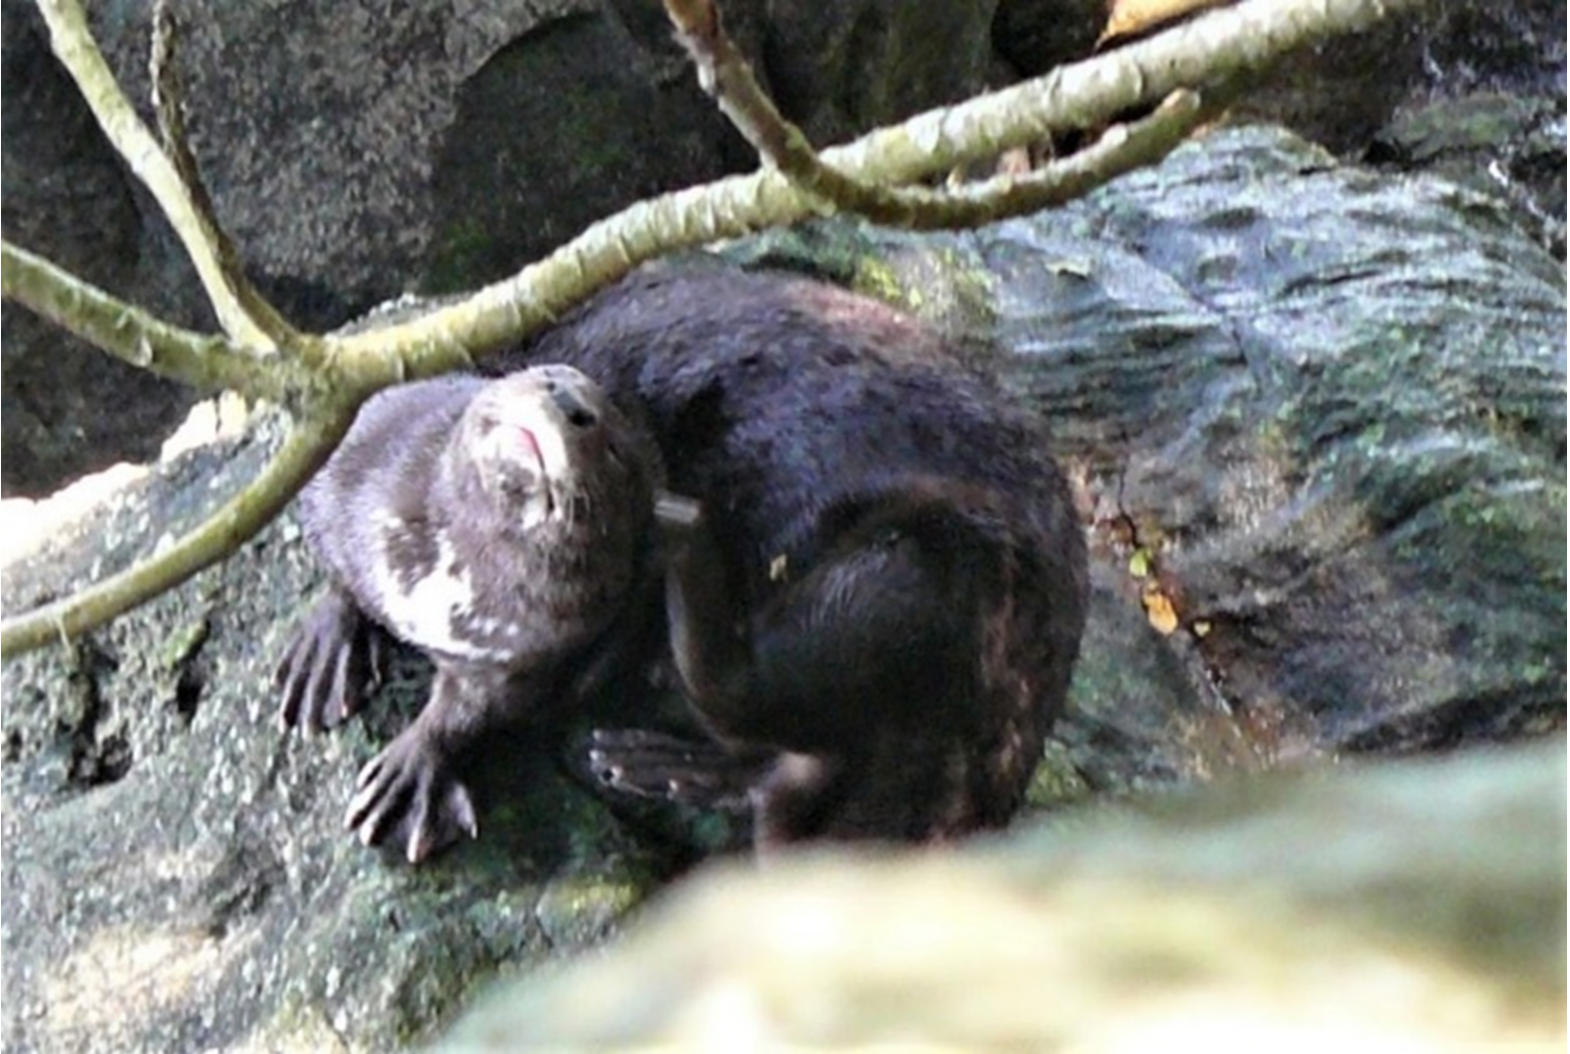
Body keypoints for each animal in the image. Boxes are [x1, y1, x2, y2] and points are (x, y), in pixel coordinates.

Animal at [276, 367, 656, 860]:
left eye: (614, 451)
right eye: (551, 378)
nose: (572, 404)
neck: (444, 577)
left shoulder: (527, 654)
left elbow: (470, 713)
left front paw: (409, 776)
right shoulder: (345, 464)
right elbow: (334, 559)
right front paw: (326, 650)